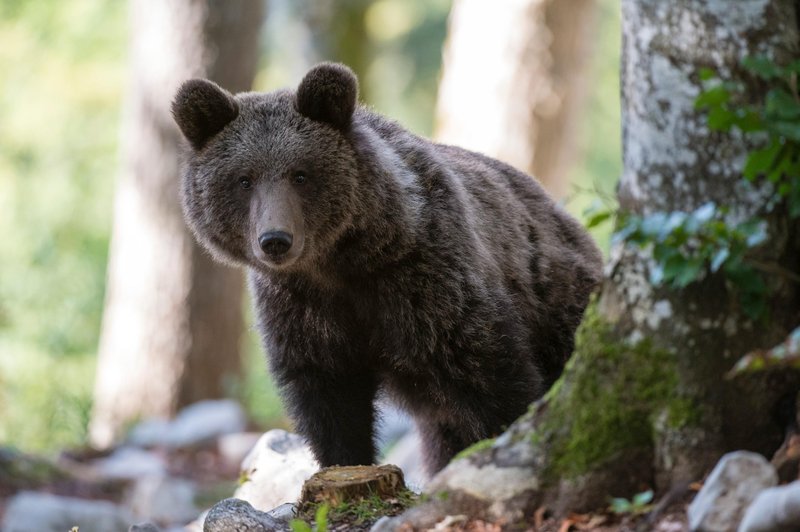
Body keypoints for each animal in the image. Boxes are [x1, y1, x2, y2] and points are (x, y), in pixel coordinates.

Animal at [172, 62, 604, 474]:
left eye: (300, 174)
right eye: (244, 179)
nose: (275, 239)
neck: (339, 263)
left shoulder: (426, 281)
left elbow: (492, 377)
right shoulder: (302, 308)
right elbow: (330, 399)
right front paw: (344, 461)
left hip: (558, 302)